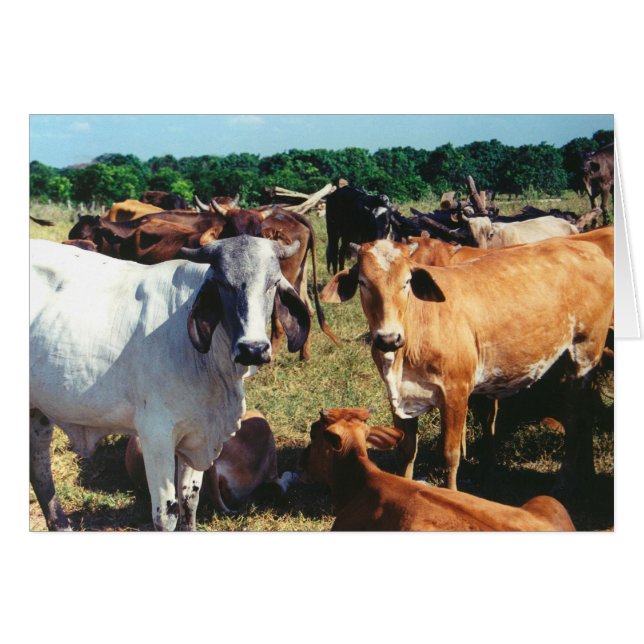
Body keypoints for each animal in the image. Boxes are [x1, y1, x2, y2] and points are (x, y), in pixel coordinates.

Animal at [320, 237, 613, 492]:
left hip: (585, 352)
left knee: (576, 417)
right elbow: (406, 452)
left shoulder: (456, 392)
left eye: (407, 282)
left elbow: (450, 454)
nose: (389, 338)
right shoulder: (399, 397)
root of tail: (588, 249)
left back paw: (565, 481)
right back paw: (587, 475)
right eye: (363, 282)